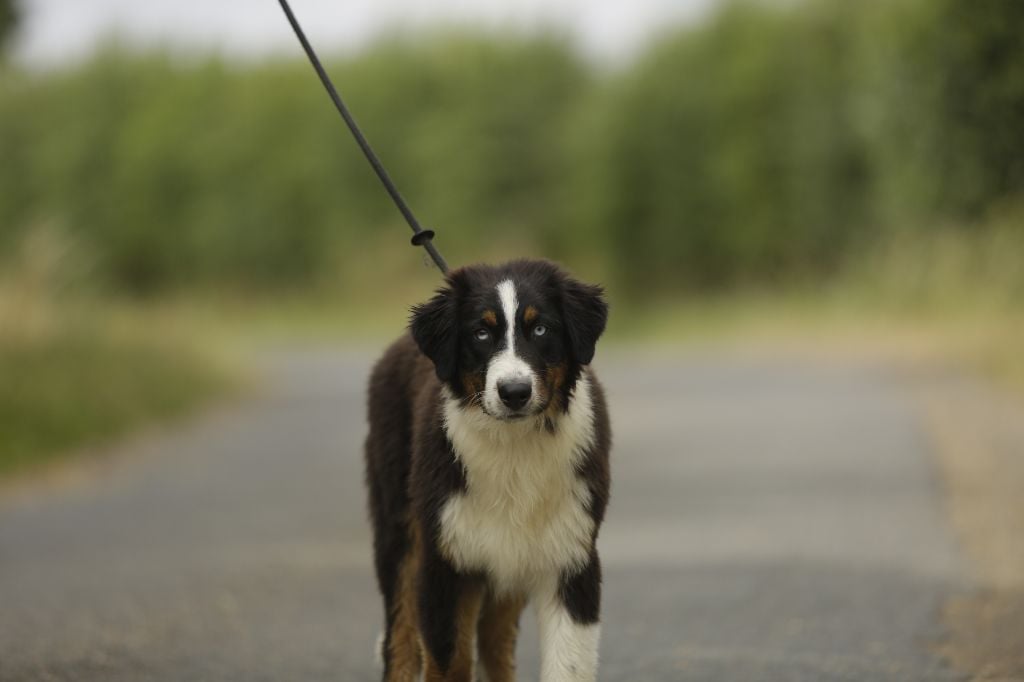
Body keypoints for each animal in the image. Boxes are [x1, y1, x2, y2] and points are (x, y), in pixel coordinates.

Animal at [364, 258, 611, 682]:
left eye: (540, 329)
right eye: (480, 332)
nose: (514, 393)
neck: (513, 447)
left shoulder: (570, 556)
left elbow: (567, 664)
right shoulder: (445, 560)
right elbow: (448, 661)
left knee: (496, 641)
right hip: (399, 530)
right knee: (400, 637)